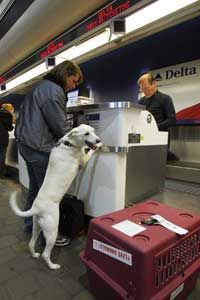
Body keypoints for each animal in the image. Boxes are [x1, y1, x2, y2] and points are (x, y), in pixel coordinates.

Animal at [9, 123, 101, 270]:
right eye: (86, 133)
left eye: (93, 131)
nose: (98, 140)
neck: (69, 144)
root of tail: (37, 208)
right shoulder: (83, 160)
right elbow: (89, 152)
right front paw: (99, 146)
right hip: (52, 231)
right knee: (46, 254)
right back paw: (53, 266)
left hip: (37, 226)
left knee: (31, 243)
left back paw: (34, 254)